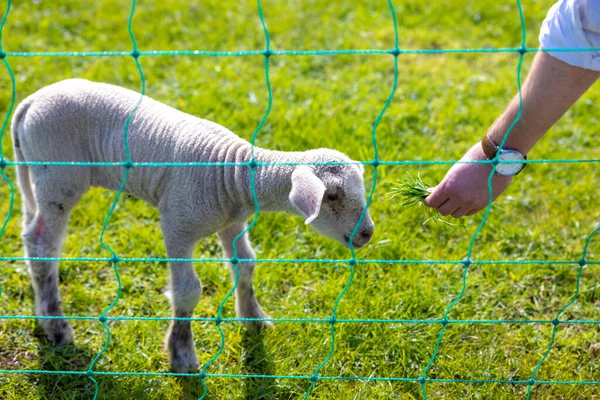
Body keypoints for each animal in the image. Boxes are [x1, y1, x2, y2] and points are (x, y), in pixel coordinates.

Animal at [10, 78, 376, 372]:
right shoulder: (177, 224)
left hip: (36, 175)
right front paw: (182, 355)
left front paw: (254, 319)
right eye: (332, 196)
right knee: (43, 245)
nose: (367, 233)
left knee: (29, 234)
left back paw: (41, 312)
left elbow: (245, 265)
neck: (234, 174)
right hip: (59, 176)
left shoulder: (232, 221)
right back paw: (57, 327)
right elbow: (188, 291)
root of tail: (30, 101)